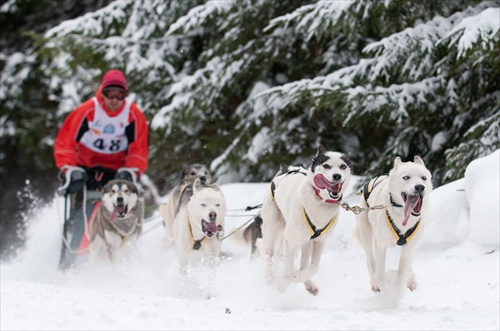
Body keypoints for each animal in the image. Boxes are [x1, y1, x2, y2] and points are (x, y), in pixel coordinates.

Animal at [260, 146, 354, 296]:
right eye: (326, 165)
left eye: (343, 166)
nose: (337, 176)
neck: (320, 200)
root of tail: (286, 169)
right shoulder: (289, 239)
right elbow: (288, 270)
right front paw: (283, 285)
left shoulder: (320, 241)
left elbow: (314, 266)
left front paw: (299, 277)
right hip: (272, 230)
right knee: (270, 254)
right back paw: (269, 277)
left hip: (306, 242)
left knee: (303, 264)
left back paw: (308, 284)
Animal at [356, 156, 434, 300]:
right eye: (406, 177)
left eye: (423, 178)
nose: (420, 187)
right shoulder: (380, 245)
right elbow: (381, 277)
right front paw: (390, 295)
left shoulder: (409, 248)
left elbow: (402, 276)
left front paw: (397, 294)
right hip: (366, 235)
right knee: (371, 261)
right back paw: (374, 283)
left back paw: (411, 279)